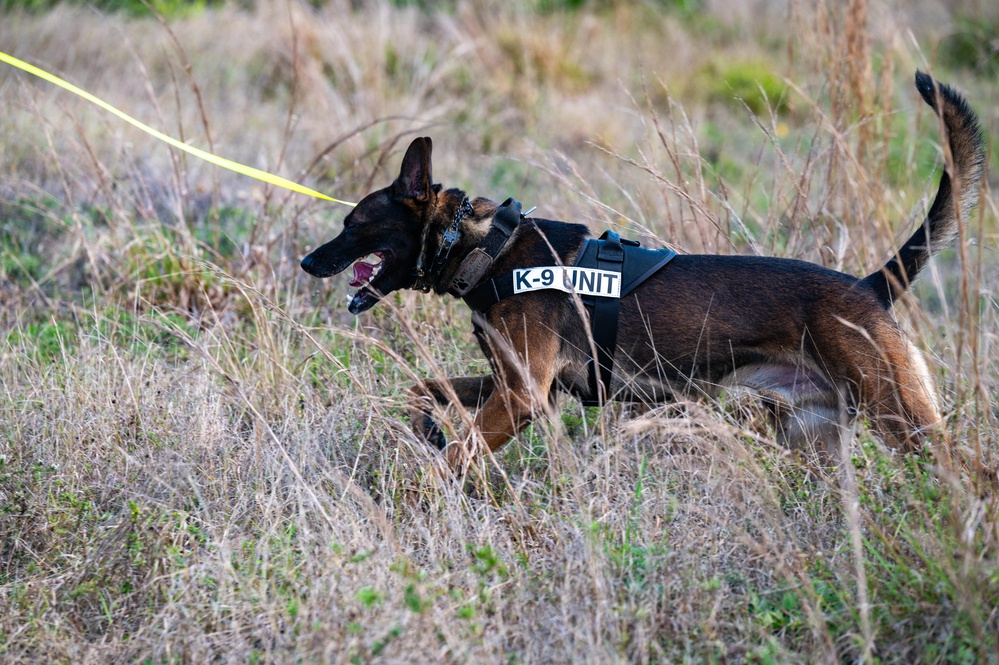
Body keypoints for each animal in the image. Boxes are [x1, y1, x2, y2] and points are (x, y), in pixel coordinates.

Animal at [302, 74, 984, 472]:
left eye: (354, 223)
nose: (309, 261)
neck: (488, 248)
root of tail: (868, 286)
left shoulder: (521, 396)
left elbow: (455, 461)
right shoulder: (511, 383)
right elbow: (421, 388)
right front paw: (427, 429)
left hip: (904, 421)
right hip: (813, 434)